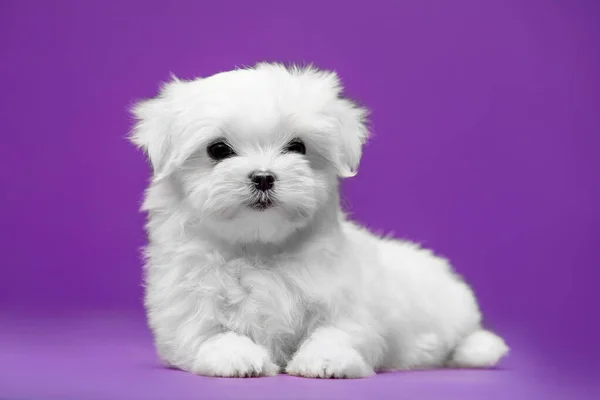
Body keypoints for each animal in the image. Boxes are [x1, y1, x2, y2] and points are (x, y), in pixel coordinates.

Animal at [129, 62, 508, 378]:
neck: (259, 248)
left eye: (297, 147)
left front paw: (326, 360)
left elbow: (337, 330)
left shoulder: (345, 301)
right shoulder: (186, 308)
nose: (263, 177)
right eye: (218, 150)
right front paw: (237, 356)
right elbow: (209, 335)